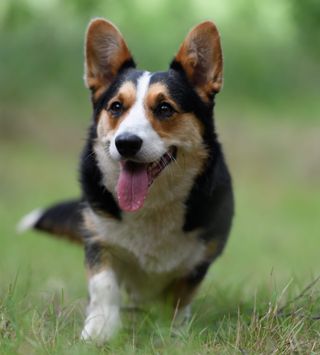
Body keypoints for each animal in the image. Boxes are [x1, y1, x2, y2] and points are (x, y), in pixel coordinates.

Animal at [18, 18, 234, 344]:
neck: (151, 206)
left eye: (165, 108)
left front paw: (170, 336)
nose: (127, 143)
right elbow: (104, 288)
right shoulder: (98, 239)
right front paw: (98, 332)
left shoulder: (199, 260)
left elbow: (178, 300)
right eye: (116, 107)